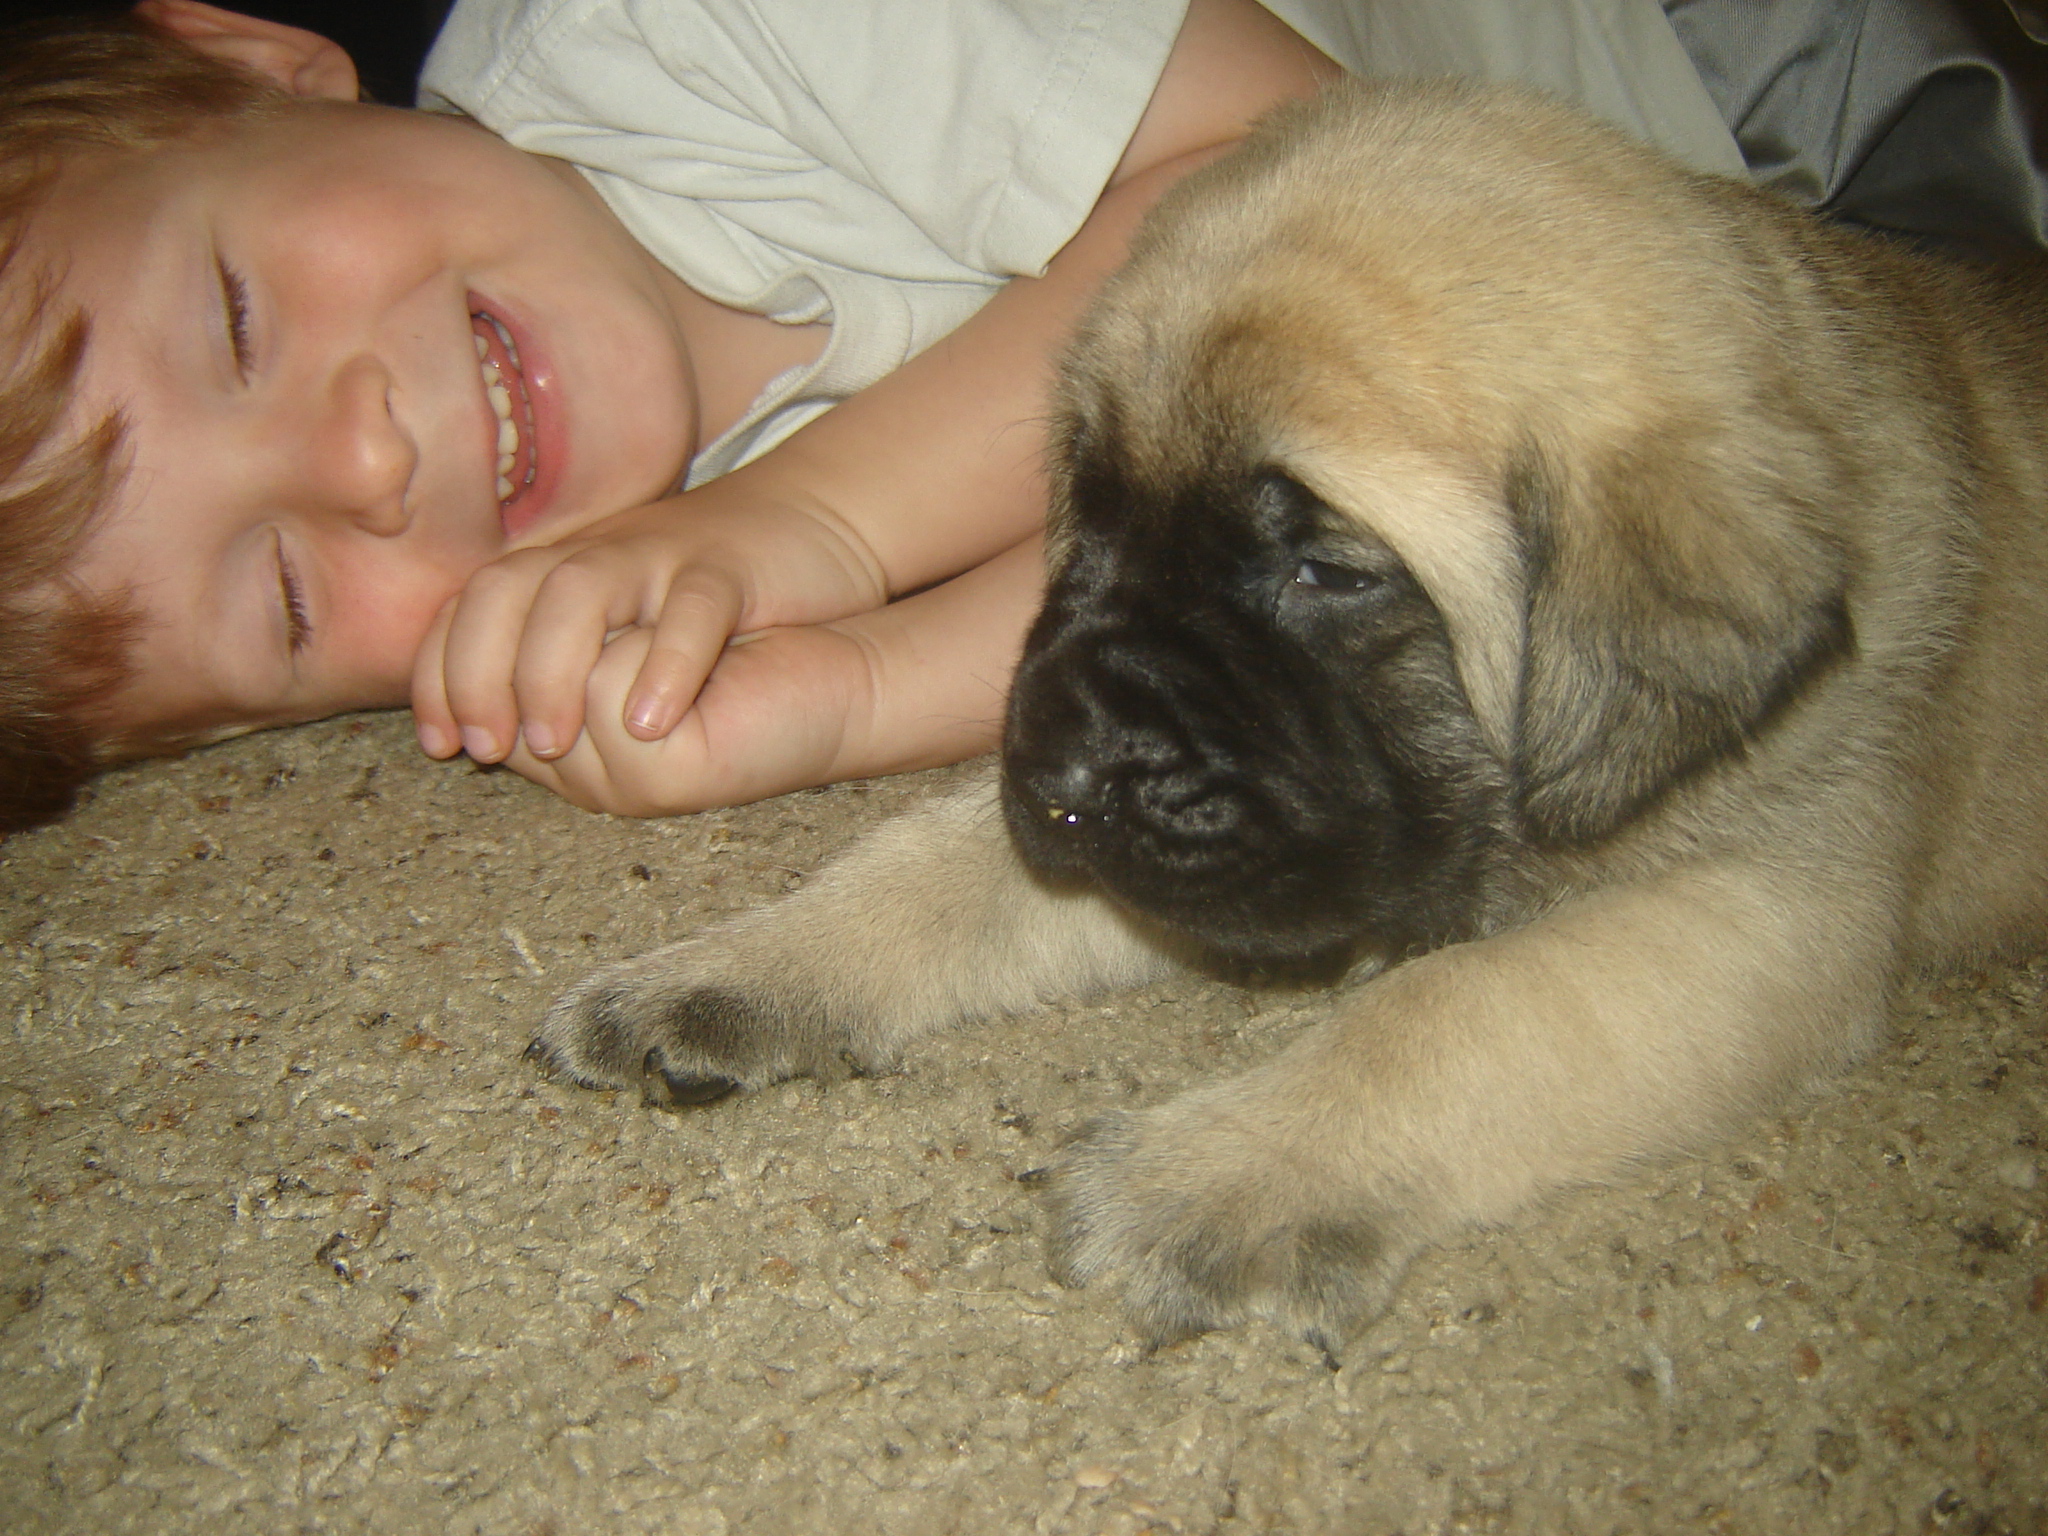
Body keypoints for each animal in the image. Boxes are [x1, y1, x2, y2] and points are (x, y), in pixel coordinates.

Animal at [530, 79, 2048, 1359]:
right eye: (1091, 516)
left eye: (1327, 572)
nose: (1058, 761)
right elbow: (932, 867)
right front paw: (737, 967)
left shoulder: (1771, 912)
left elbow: (1464, 1007)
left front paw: (1212, 1176)